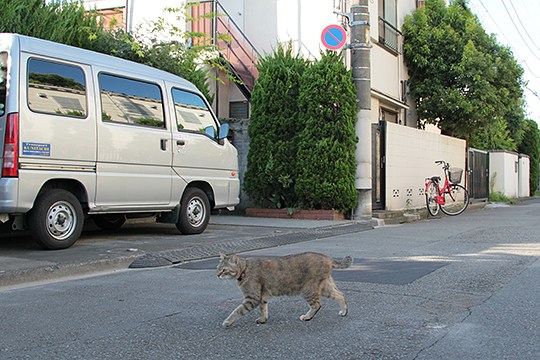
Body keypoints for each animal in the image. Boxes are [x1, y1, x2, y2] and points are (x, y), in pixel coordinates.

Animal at [217, 252, 352, 328]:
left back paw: (307, 317)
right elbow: (263, 310)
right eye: (218, 268)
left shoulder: (252, 299)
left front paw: (227, 322)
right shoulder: (262, 298)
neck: (245, 269)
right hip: (325, 287)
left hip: (308, 289)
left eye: (224, 270)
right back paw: (344, 311)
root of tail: (327, 257)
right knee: (340, 294)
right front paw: (263, 320)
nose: (217, 275)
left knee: (317, 305)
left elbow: (237, 311)